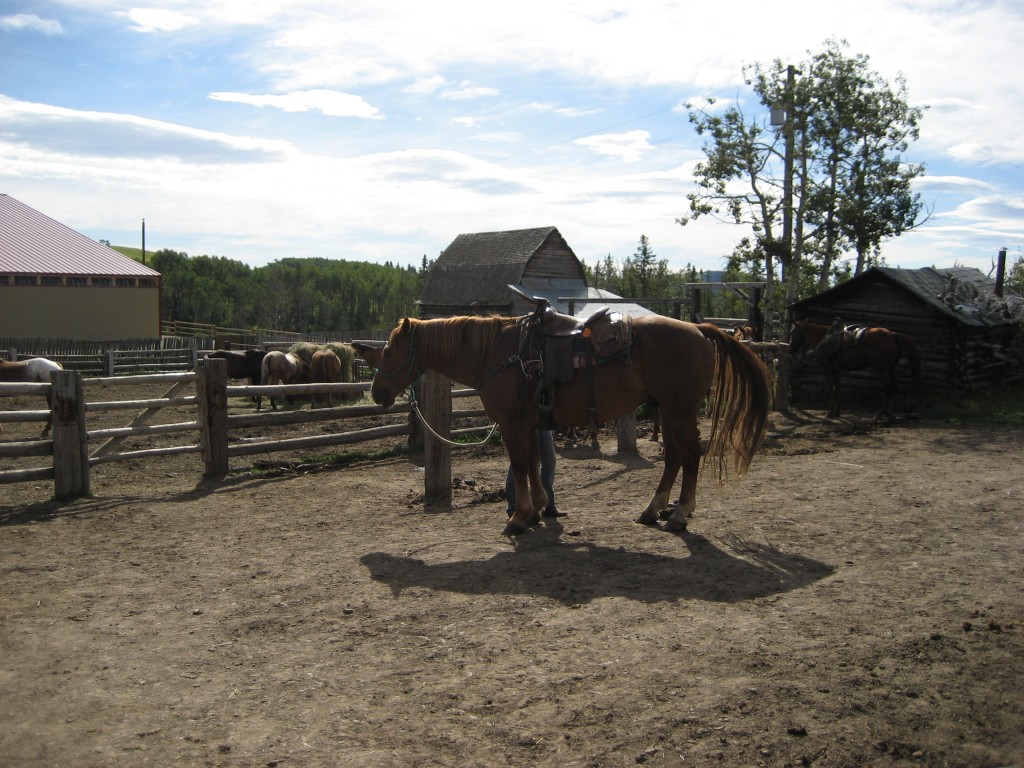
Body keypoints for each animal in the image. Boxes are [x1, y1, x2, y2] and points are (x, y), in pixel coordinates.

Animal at [369, 312, 772, 536]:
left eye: (387, 351)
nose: (376, 392)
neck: (499, 353)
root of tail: (701, 330)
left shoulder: (513, 424)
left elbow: (520, 465)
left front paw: (519, 517)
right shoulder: (531, 423)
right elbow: (534, 464)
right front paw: (537, 510)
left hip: (680, 410)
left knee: (689, 456)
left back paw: (680, 514)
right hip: (669, 411)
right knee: (673, 457)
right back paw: (653, 510)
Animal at [790, 319, 922, 420]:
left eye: (792, 332)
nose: (791, 349)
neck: (822, 339)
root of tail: (893, 334)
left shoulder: (827, 369)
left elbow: (831, 389)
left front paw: (830, 413)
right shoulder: (837, 371)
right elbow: (837, 389)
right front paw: (837, 412)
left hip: (880, 370)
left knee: (888, 388)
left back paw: (880, 414)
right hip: (890, 369)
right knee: (894, 387)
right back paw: (889, 414)